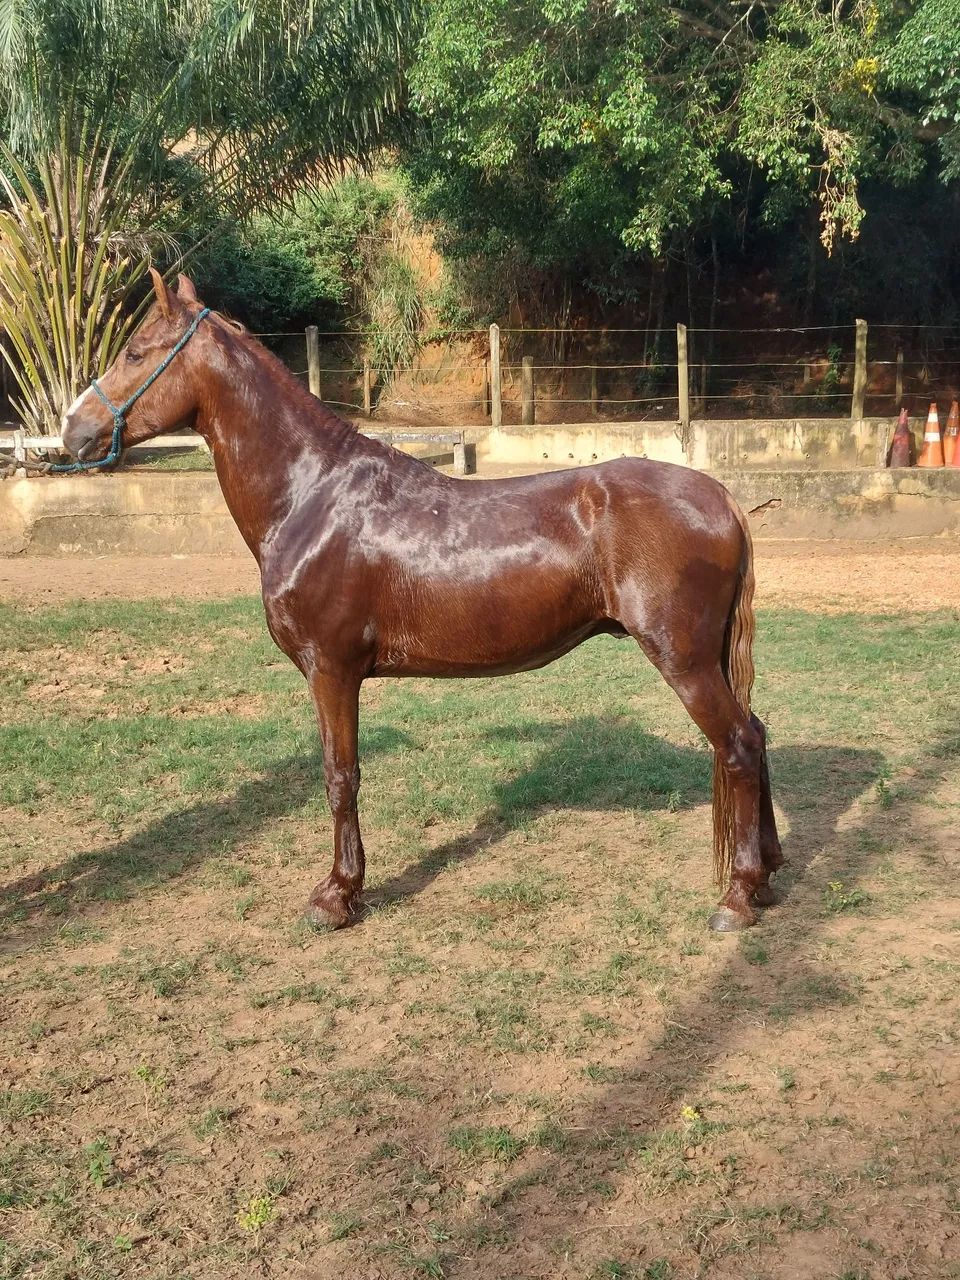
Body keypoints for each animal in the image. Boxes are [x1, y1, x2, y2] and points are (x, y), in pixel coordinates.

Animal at [62, 269, 783, 932]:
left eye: (135, 352)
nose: (72, 431)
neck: (312, 494)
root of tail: (720, 496)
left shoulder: (330, 670)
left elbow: (340, 776)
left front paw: (337, 896)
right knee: (756, 732)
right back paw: (768, 873)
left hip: (683, 658)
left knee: (738, 744)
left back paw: (738, 895)